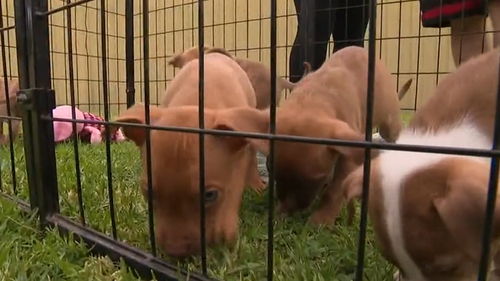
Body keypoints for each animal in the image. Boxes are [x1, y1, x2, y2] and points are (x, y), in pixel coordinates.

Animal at [272, 45, 412, 225]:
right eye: (273, 171)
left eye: (318, 178)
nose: (290, 210)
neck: (314, 97)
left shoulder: (347, 153)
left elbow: (335, 189)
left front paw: (322, 218)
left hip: (389, 123)